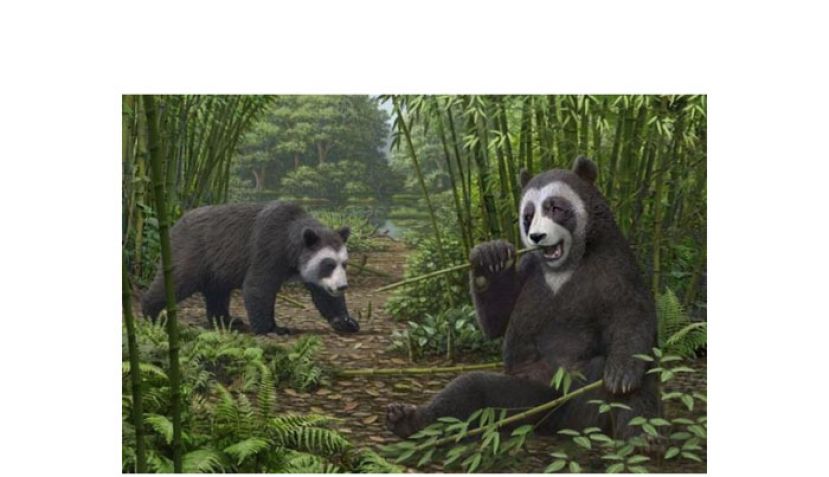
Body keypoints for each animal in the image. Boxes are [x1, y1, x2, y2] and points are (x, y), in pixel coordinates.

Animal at [140, 201, 360, 335]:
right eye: (328, 264)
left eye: (344, 263)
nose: (342, 287)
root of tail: (175, 224)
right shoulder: (269, 246)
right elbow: (258, 286)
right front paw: (273, 328)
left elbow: (322, 293)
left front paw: (345, 321)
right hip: (193, 248)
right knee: (178, 280)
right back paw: (152, 313)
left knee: (217, 292)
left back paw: (227, 321)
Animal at [386, 157, 659, 440]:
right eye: (528, 216)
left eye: (555, 208)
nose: (537, 236)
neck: (563, 265)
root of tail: (550, 420)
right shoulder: (530, 268)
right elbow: (498, 319)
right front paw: (489, 256)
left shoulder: (614, 264)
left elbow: (633, 314)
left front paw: (622, 375)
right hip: (523, 394)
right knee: (471, 390)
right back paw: (406, 419)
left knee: (631, 384)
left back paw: (638, 436)